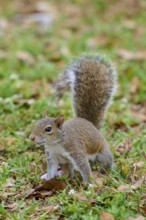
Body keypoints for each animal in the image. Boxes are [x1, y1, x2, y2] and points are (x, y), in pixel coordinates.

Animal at [29, 53, 116, 184]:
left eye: (48, 129)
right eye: (35, 124)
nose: (32, 137)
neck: (55, 144)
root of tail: (89, 123)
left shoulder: (76, 150)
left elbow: (84, 167)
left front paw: (89, 184)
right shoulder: (52, 157)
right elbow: (51, 169)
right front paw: (48, 178)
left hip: (101, 151)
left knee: (107, 160)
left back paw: (108, 170)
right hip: (66, 162)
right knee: (69, 170)